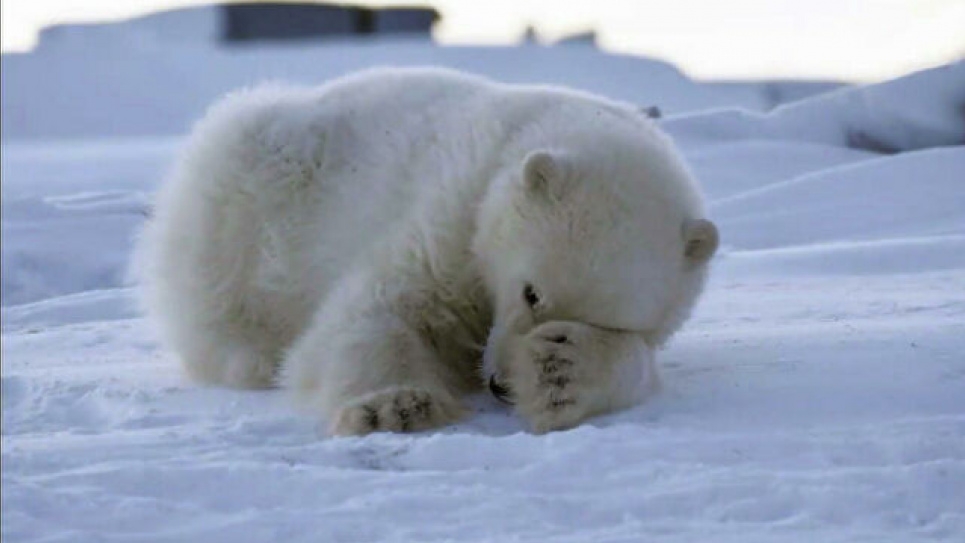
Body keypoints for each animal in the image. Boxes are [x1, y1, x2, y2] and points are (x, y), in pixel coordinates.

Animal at [139, 66, 720, 436]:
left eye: (613, 322)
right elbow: (381, 307)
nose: (499, 385)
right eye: (531, 292)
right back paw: (251, 354)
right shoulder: (451, 212)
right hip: (238, 202)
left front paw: (560, 373)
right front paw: (394, 406)